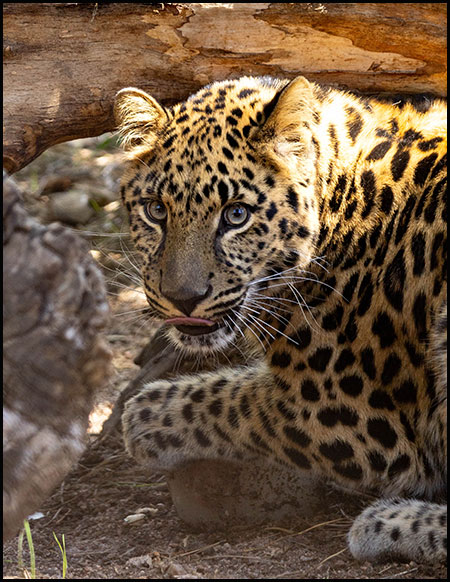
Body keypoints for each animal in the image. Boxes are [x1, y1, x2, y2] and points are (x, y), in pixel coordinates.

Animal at [113, 75, 446, 564]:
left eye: (236, 215)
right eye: (156, 210)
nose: (183, 299)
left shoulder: (360, 416)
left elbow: (238, 401)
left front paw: (147, 415)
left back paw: (386, 524)